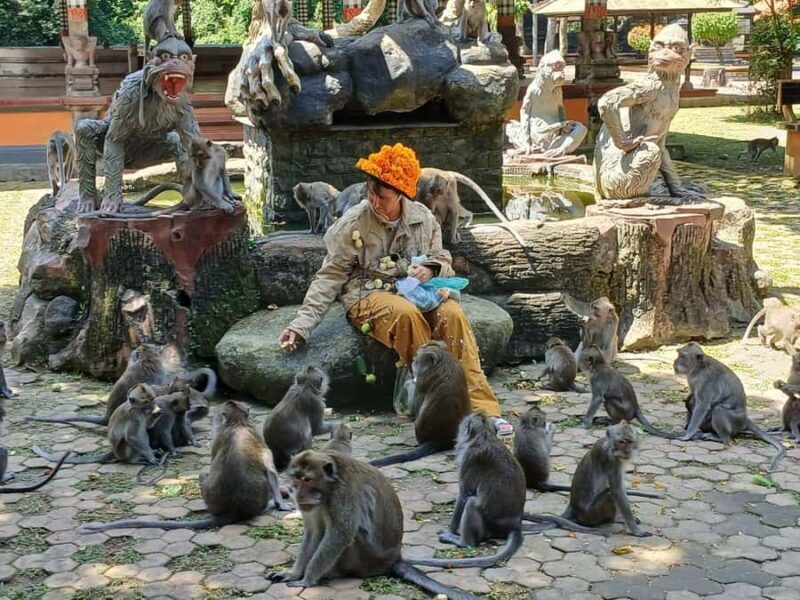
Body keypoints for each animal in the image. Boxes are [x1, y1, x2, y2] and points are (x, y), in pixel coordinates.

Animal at [33, 383, 162, 465]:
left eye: (152, 399)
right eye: (147, 401)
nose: (153, 404)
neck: (139, 410)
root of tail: (115, 452)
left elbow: (148, 426)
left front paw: (157, 413)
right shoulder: (133, 415)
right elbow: (132, 436)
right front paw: (151, 456)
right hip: (122, 452)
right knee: (128, 441)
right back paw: (134, 461)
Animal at [267, 450, 477, 600]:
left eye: (307, 479)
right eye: (296, 479)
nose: (298, 494)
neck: (329, 489)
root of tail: (394, 558)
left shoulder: (344, 495)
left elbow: (340, 535)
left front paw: (308, 579)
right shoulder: (313, 506)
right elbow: (312, 533)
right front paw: (294, 574)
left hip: (365, 558)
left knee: (351, 534)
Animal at [405, 413, 525, 568]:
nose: (458, 433)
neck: (484, 435)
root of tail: (514, 525)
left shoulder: (469, 459)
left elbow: (464, 495)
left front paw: (450, 530)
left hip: (489, 526)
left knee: (471, 502)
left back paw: (462, 541)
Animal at [523, 422, 655, 537]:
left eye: (629, 442)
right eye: (622, 442)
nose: (627, 451)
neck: (610, 446)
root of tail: (573, 506)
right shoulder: (611, 460)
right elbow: (617, 491)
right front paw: (636, 530)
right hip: (590, 515)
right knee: (609, 494)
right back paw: (613, 519)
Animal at [673, 342, 786, 471]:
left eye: (682, 356)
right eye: (679, 354)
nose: (675, 362)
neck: (698, 368)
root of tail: (745, 420)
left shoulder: (705, 381)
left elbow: (702, 405)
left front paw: (687, 435)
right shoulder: (692, 379)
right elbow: (694, 399)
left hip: (735, 421)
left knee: (718, 410)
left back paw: (721, 438)